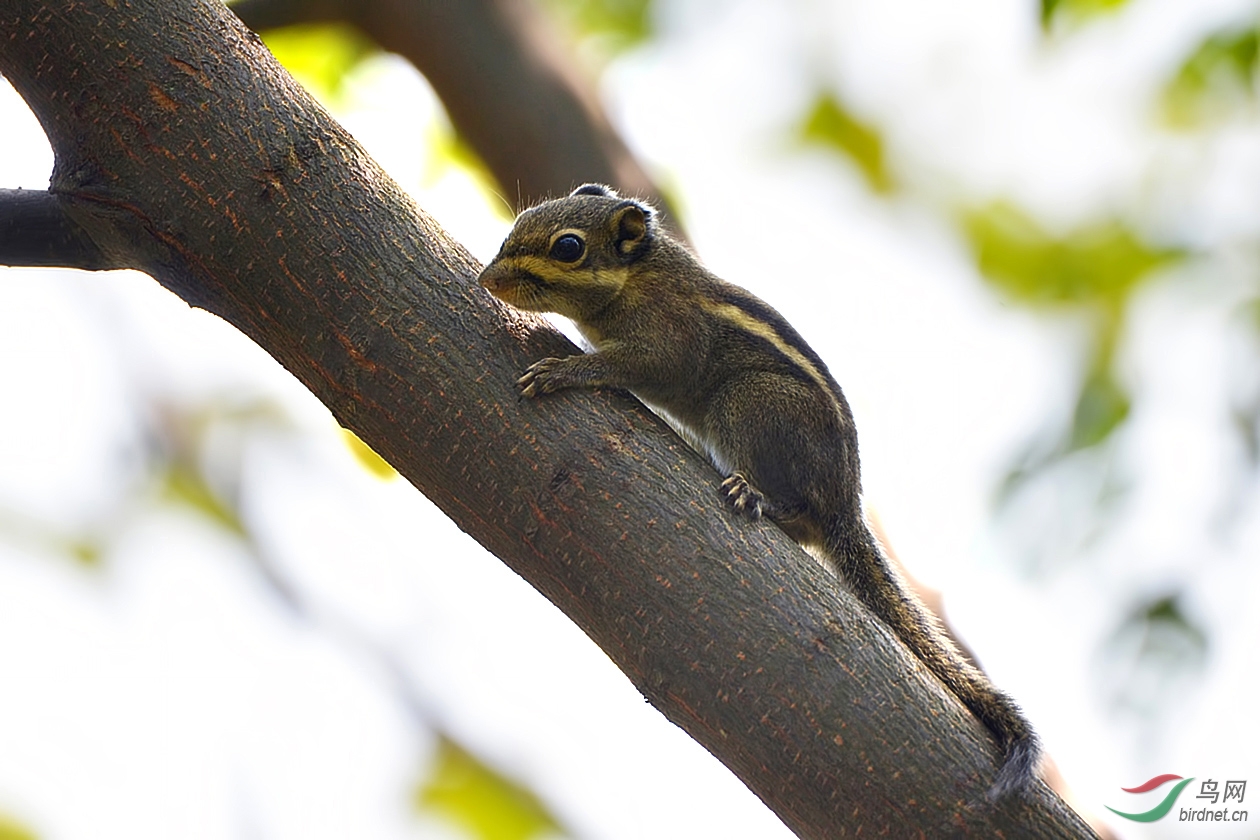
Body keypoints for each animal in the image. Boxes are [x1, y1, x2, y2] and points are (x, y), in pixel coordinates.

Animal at [476, 182, 1038, 795]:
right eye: (521, 222)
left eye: (568, 247)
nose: (488, 280)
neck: (638, 278)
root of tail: (847, 502)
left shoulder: (666, 343)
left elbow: (627, 365)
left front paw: (562, 372)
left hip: (746, 402)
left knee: (799, 513)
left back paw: (757, 495)